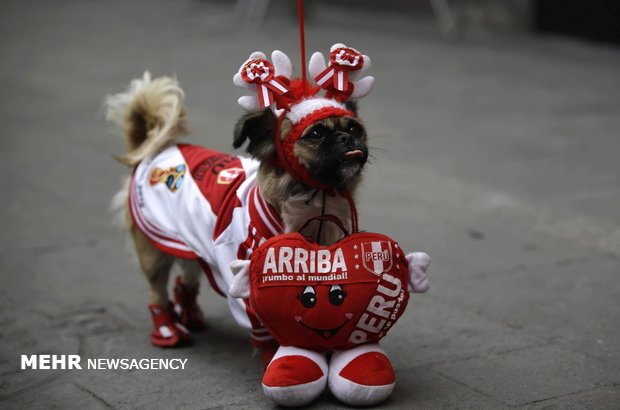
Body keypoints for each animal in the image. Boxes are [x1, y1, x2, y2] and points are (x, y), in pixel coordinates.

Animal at [106, 44, 376, 362]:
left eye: (356, 129)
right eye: (316, 134)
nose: (347, 137)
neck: (317, 202)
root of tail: (156, 152)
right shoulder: (246, 278)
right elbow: (267, 326)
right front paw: (278, 361)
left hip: (190, 247)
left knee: (186, 280)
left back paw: (190, 315)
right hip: (154, 254)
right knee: (157, 293)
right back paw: (167, 330)